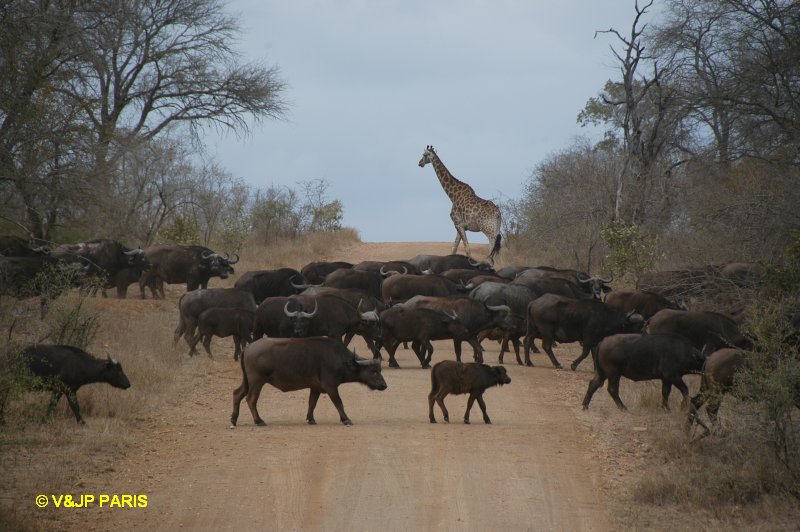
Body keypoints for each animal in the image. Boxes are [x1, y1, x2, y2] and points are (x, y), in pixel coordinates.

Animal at [0, 344, 130, 424]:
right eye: (117, 371)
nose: (128, 384)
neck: (81, 364)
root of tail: (9, 356)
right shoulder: (63, 389)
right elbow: (71, 406)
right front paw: (82, 422)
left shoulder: (67, 390)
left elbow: (59, 405)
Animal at [228, 336, 388, 428]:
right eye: (374, 371)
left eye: (380, 370)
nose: (384, 385)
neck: (341, 360)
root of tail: (248, 348)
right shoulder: (330, 387)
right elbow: (339, 403)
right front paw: (346, 419)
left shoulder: (315, 387)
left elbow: (312, 403)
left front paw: (310, 419)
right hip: (257, 381)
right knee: (251, 399)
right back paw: (259, 421)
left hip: (247, 381)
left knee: (237, 394)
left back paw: (234, 419)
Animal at [580, 332, 708, 412]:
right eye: (703, 363)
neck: (683, 351)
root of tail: (603, 341)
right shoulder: (672, 376)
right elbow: (685, 389)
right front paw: (682, 407)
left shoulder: (666, 379)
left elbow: (665, 392)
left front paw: (666, 408)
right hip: (614, 374)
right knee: (612, 389)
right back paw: (623, 408)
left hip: (603, 373)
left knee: (593, 384)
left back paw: (585, 405)